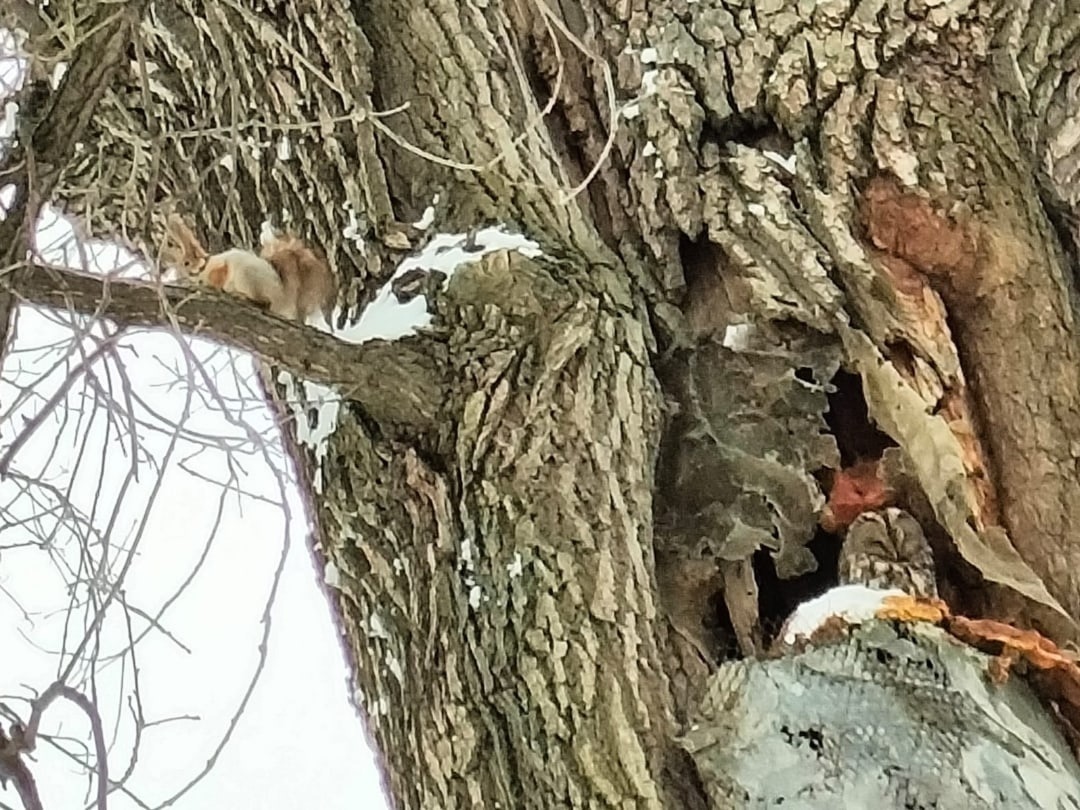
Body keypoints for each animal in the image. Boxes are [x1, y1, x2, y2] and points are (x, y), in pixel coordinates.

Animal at [162, 213, 332, 326]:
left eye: (186, 262)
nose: (186, 273)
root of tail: (284, 297)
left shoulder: (220, 267)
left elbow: (219, 275)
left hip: (247, 276)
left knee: (265, 302)